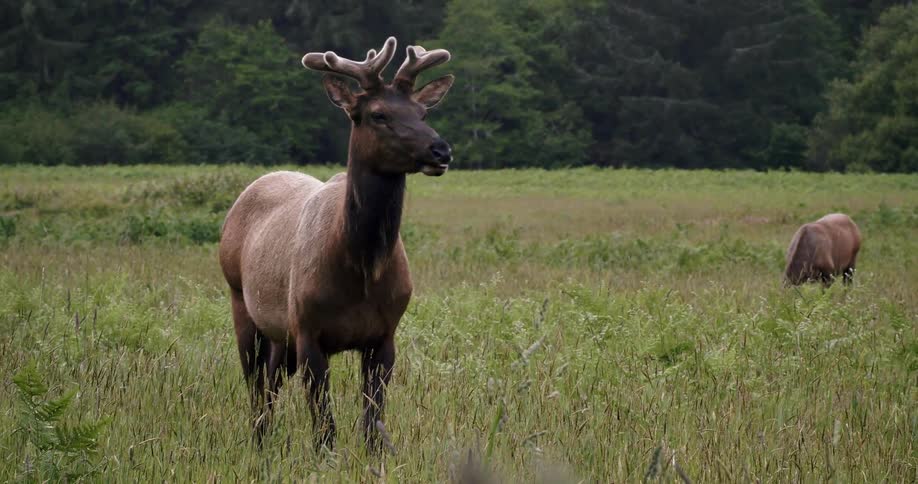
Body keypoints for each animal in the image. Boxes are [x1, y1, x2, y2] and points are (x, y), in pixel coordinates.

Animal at [218, 36, 454, 452]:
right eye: (377, 114)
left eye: (422, 112)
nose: (440, 151)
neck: (359, 270)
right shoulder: (309, 330)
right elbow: (325, 426)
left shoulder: (384, 334)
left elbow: (373, 423)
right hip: (242, 303)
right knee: (256, 387)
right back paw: (258, 442)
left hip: (280, 334)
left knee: (271, 382)